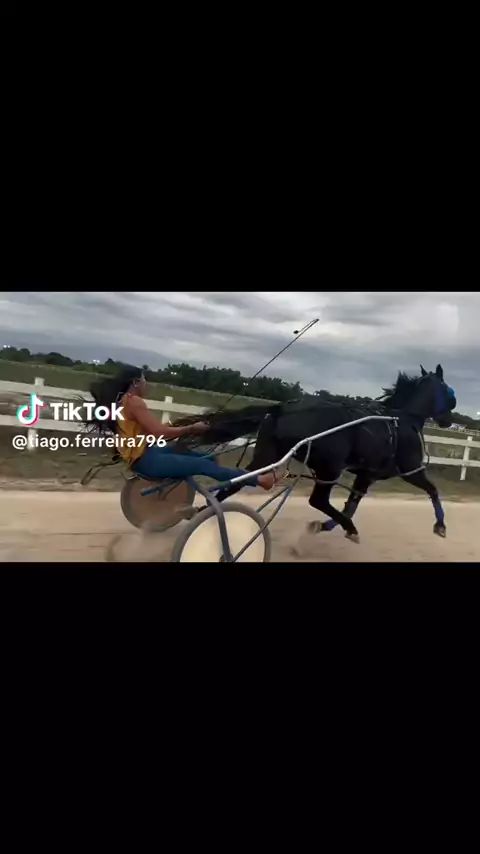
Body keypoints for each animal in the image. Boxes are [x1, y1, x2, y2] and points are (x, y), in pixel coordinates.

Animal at [176, 364, 457, 543]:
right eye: (449, 391)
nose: (448, 420)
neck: (402, 419)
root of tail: (281, 409)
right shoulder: (410, 470)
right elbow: (433, 490)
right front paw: (441, 526)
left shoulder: (366, 475)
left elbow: (351, 505)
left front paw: (326, 526)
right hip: (329, 467)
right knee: (318, 500)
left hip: (267, 456)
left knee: (236, 481)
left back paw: (203, 511)